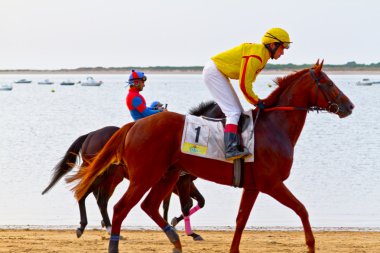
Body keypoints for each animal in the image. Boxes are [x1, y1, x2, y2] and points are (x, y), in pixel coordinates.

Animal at [43, 100, 223, 239]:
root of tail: (91, 134)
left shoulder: (179, 182)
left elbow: (198, 201)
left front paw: (173, 222)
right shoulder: (181, 181)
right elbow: (185, 204)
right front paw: (189, 232)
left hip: (112, 178)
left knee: (100, 199)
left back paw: (107, 227)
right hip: (103, 174)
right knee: (87, 193)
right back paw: (86, 226)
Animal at [70, 61, 354, 253]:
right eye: (330, 83)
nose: (350, 106)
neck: (274, 127)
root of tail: (133, 126)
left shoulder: (253, 186)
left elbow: (240, 220)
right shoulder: (272, 183)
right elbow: (302, 210)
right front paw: (311, 245)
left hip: (168, 174)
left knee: (148, 205)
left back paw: (174, 239)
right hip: (144, 176)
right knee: (118, 207)